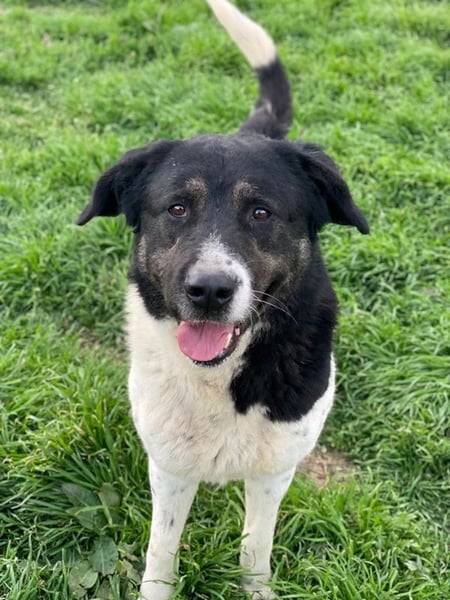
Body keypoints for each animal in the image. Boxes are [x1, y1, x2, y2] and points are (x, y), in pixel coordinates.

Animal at [77, 1, 369, 598]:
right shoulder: (170, 468)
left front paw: (256, 589)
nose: (209, 290)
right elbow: (161, 550)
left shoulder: (274, 469)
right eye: (176, 209)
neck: (221, 377)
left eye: (261, 212)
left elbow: (255, 547)